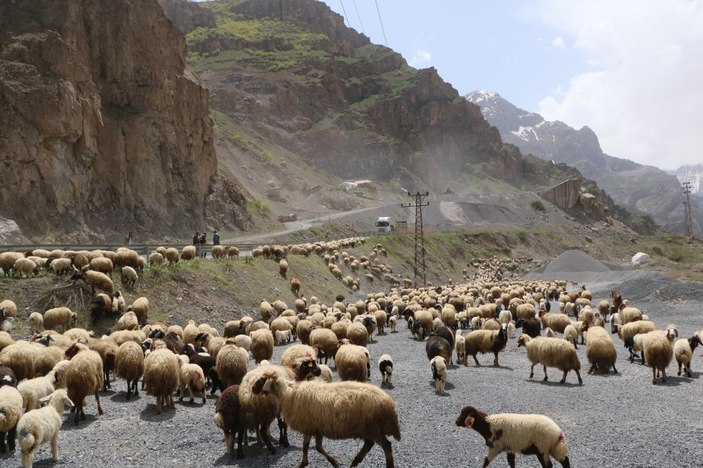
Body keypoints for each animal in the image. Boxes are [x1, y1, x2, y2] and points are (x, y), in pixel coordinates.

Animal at [258, 370, 402, 468]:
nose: (254, 389)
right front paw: (332, 462)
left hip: (373, 428)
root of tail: (389, 404)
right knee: (369, 444)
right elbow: (315, 447)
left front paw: (304, 463)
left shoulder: (308, 427)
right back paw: (355, 462)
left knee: (386, 445)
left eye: (261, 379)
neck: (287, 394)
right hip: (367, 429)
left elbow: (310, 447)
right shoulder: (314, 428)